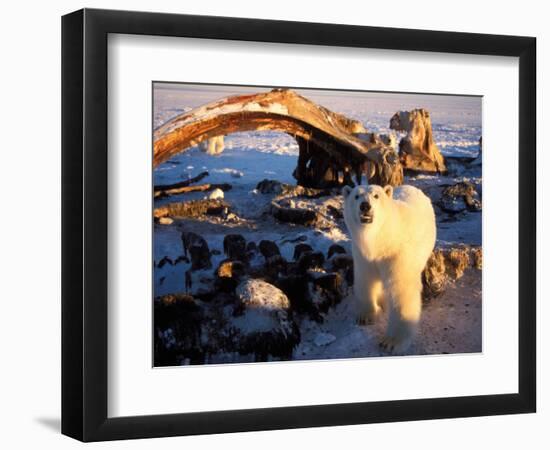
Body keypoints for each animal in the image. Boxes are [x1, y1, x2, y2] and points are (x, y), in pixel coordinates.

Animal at [342, 183, 438, 352]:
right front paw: (365, 316)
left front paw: (391, 342)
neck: (381, 240)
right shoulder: (363, 255)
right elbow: (365, 279)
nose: (365, 206)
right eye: (356, 196)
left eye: (376, 196)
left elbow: (401, 290)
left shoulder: (397, 254)